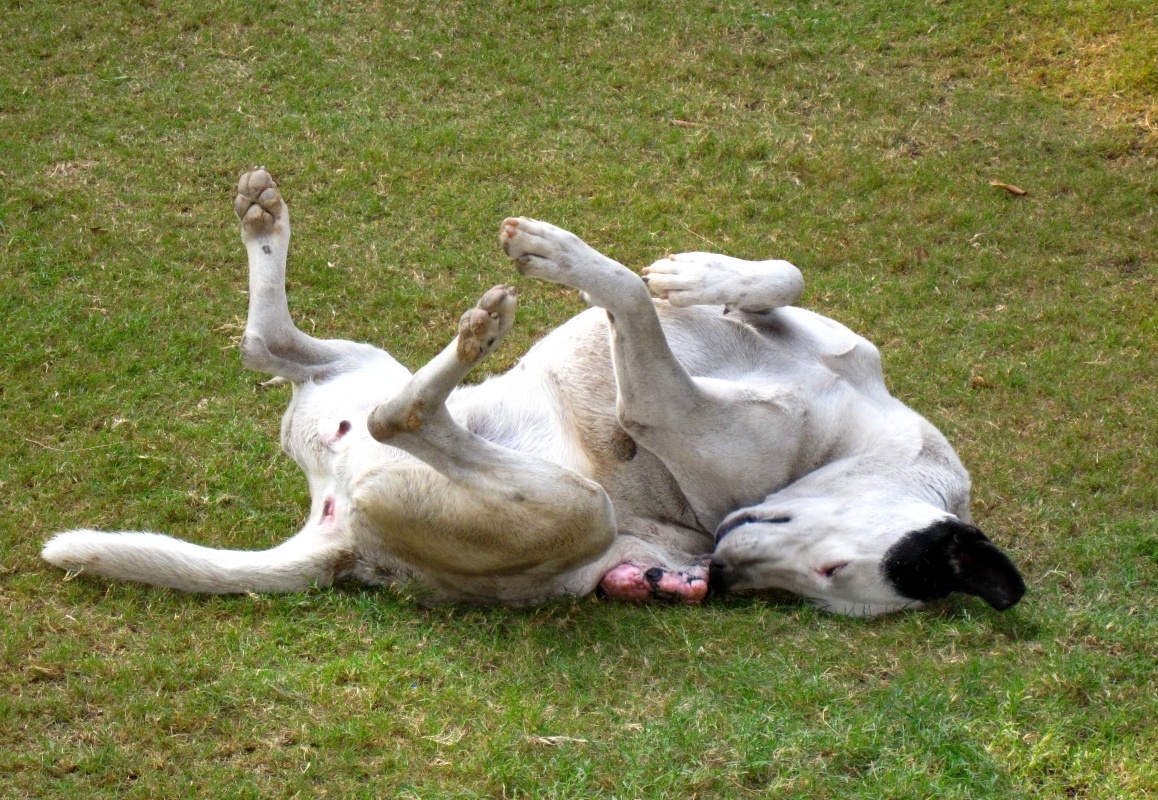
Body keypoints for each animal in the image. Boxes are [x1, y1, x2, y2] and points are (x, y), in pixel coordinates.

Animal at [42, 169, 1025, 616]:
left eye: (820, 585)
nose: (722, 571)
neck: (860, 433)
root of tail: (339, 532)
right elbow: (772, 273)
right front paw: (699, 276)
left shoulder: (658, 406)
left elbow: (626, 295)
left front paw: (562, 255)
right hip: (362, 366)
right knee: (269, 344)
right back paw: (266, 221)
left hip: (567, 508)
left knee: (400, 413)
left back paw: (473, 337)